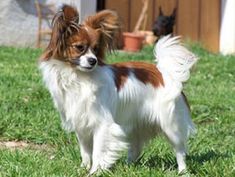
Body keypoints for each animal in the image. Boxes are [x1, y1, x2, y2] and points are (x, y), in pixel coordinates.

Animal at [39, 4, 197, 174]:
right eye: (79, 47)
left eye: (96, 49)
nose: (93, 61)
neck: (78, 77)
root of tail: (163, 72)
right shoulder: (81, 123)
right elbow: (85, 151)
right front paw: (83, 168)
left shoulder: (102, 124)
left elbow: (98, 151)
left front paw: (95, 172)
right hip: (136, 123)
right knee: (135, 148)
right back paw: (129, 166)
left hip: (170, 124)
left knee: (179, 150)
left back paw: (182, 171)